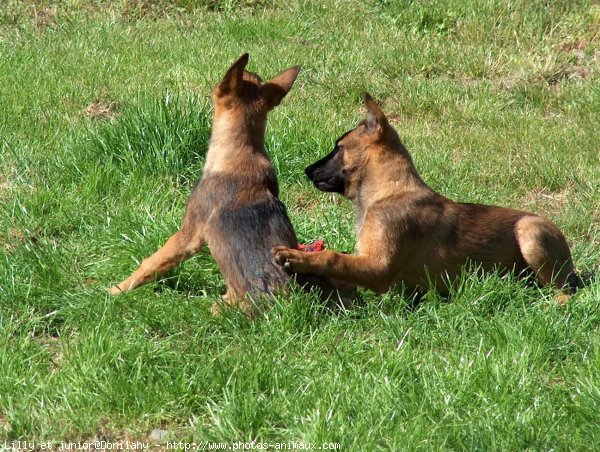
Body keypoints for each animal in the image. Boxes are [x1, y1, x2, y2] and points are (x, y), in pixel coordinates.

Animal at [110, 54, 336, 316]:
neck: (243, 150)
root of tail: (286, 305)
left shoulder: (189, 233)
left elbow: (152, 262)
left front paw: (116, 289)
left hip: (218, 305)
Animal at [274, 93, 584, 302]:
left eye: (338, 147)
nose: (307, 170)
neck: (388, 193)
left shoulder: (378, 268)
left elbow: (333, 258)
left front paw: (297, 257)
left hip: (530, 232)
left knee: (563, 292)